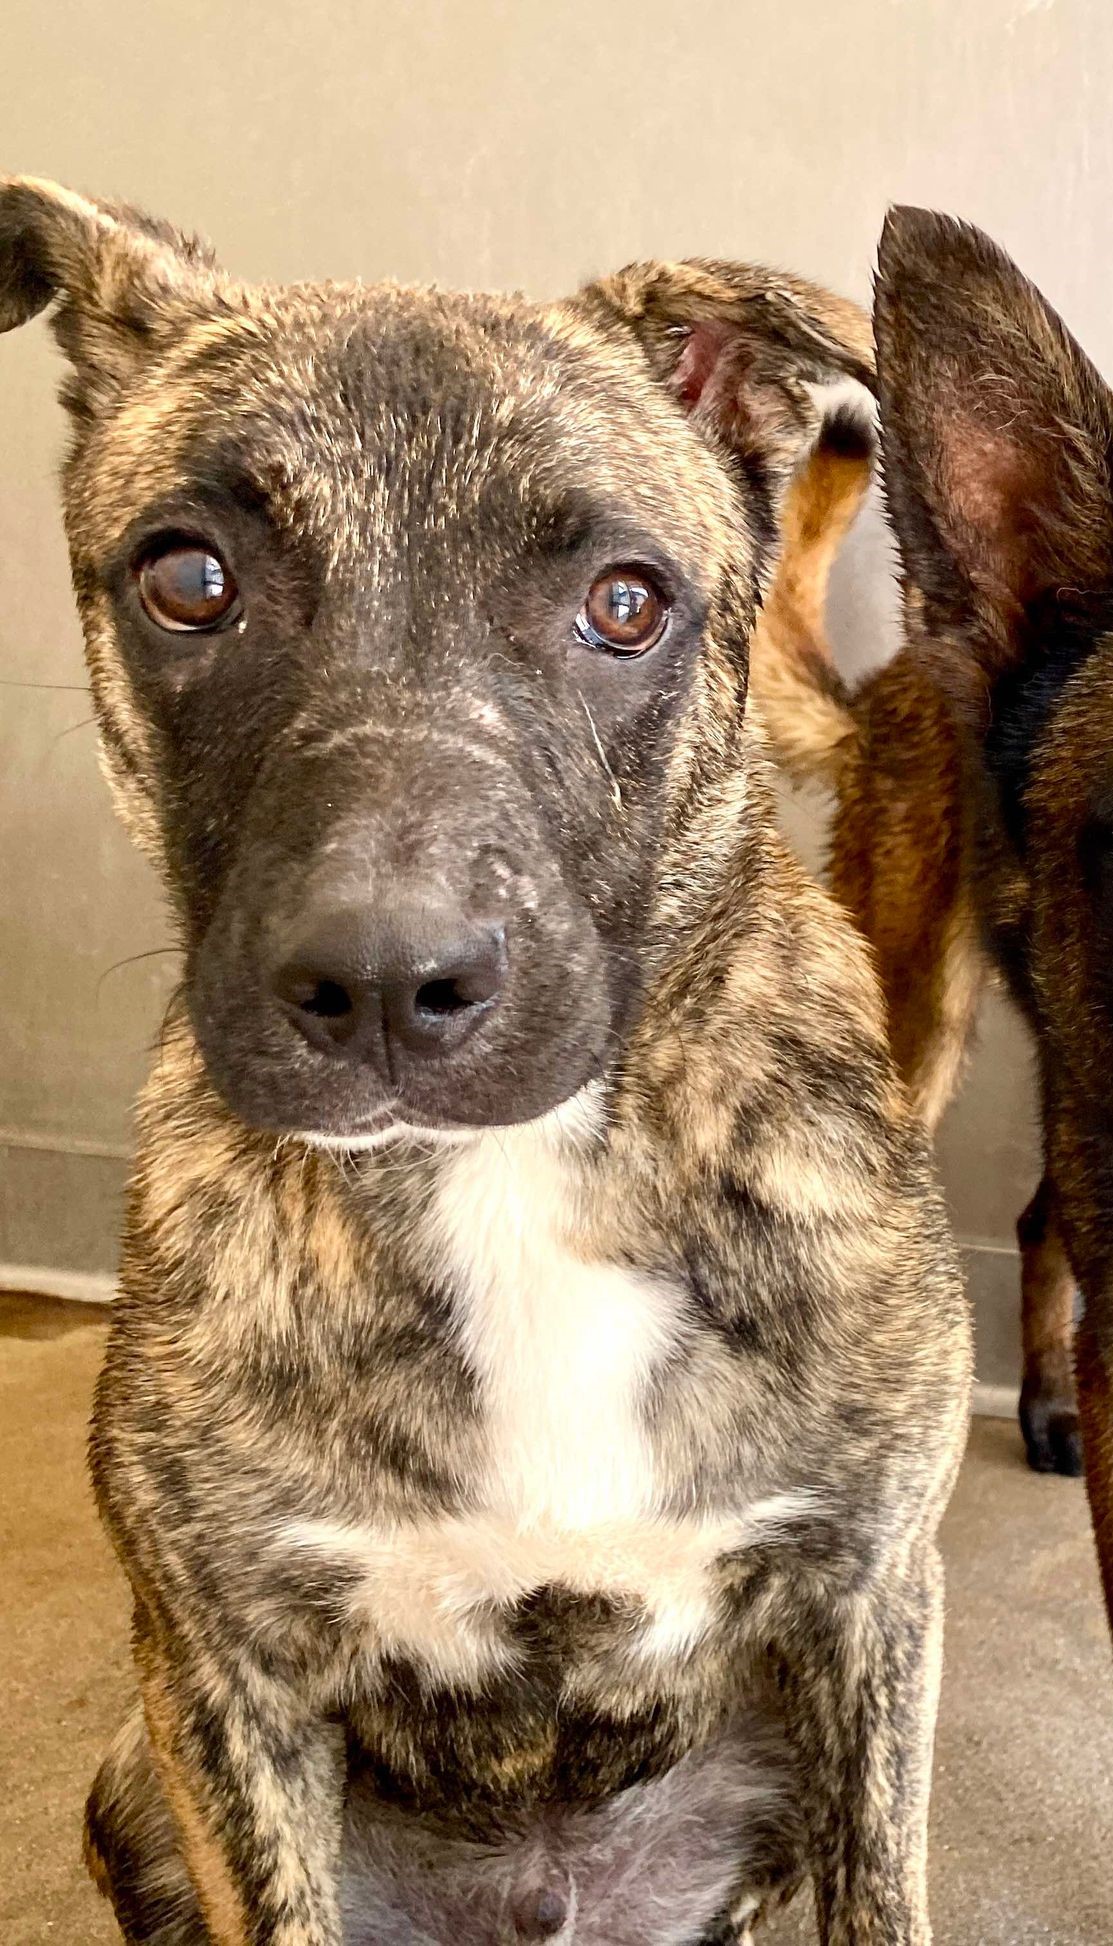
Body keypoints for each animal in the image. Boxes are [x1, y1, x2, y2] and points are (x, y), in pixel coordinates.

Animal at [0, 177, 969, 1946]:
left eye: (626, 603)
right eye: (187, 579)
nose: (387, 983)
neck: (518, 1175)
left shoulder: (871, 1603)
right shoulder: (221, 1674)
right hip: (131, 1780)